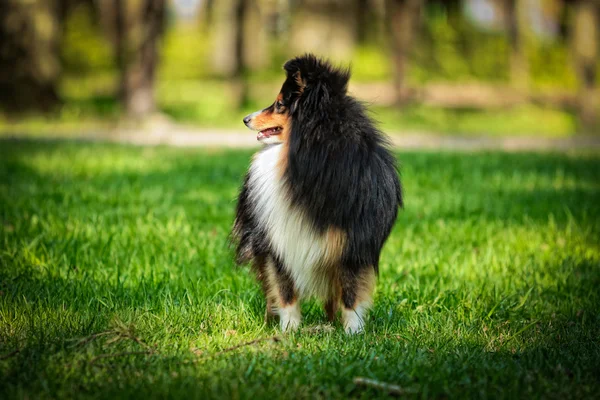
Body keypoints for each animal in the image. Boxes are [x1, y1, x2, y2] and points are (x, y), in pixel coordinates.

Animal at [231, 54, 404, 334]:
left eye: (280, 104)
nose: (246, 118)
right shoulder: (277, 241)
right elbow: (285, 289)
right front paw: (289, 330)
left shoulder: (353, 242)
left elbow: (351, 291)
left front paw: (353, 332)